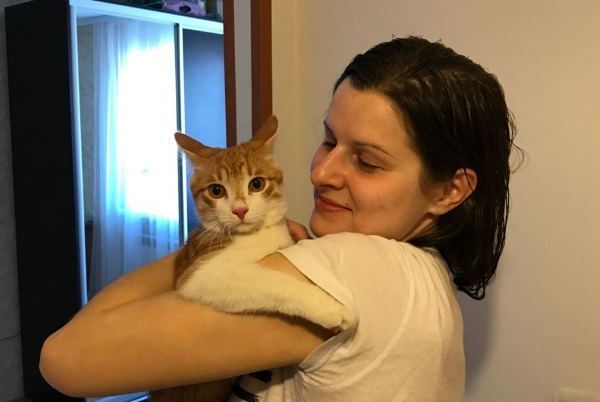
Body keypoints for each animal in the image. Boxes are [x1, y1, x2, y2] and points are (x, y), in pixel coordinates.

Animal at [150, 116, 352, 402]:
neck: (258, 234)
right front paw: (330, 307)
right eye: (216, 190)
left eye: (256, 184)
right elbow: (274, 283)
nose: (240, 210)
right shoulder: (201, 275)